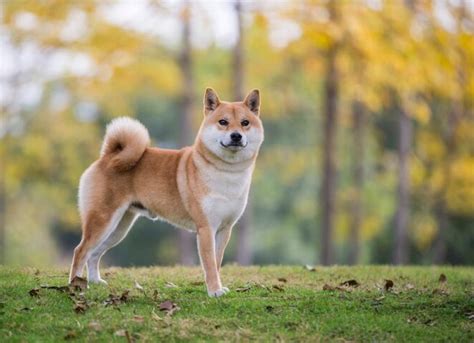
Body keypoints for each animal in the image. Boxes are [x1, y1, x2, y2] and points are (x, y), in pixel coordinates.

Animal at [69, 88, 264, 298]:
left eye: (245, 123)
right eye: (223, 122)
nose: (236, 136)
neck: (226, 173)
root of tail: (108, 156)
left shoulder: (224, 229)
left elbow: (217, 263)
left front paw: (219, 287)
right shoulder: (206, 228)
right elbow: (210, 265)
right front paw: (214, 291)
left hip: (118, 228)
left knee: (94, 254)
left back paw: (95, 281)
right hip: (103, 220)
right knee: (81, 250)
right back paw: (75, 285)